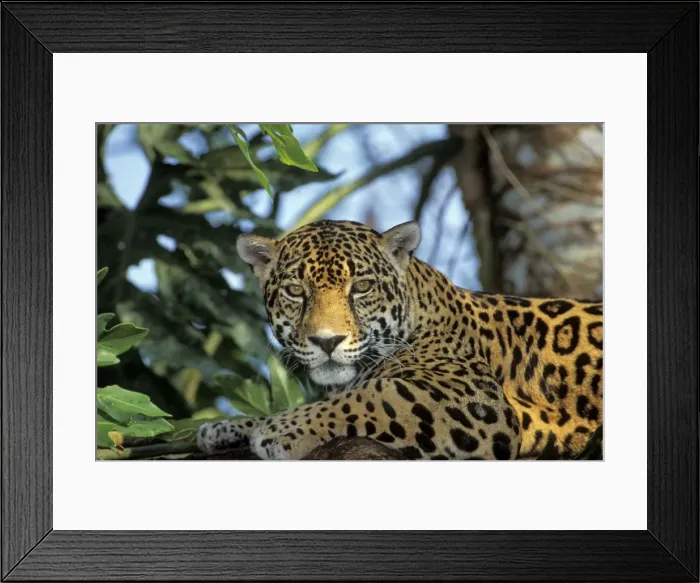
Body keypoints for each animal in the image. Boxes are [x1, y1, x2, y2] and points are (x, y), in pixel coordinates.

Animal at [197, 219, 603, 460]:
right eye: (296, 291)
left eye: (361, 287)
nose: (327, 341)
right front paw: (225, 427)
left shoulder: (476, 401)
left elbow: (371, 396)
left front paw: (279, 431)